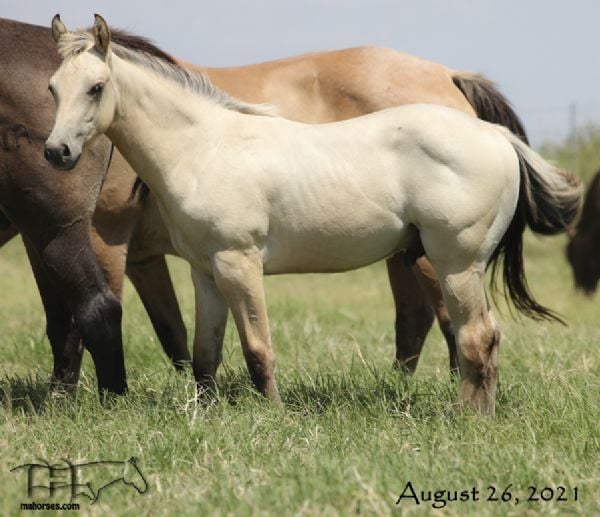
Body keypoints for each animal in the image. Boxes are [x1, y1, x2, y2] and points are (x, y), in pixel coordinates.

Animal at [44, 14, 580, 414]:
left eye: (96, 87)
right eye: (52, 88)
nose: (57, 152)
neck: (204, 146)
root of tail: (495, 136)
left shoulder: (238, 264)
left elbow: (258, 349)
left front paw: (275, 415)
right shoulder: (205, 271)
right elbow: (204, 354)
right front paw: (205, 413)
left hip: (455, 264)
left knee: (475, 337)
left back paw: (469, 419)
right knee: (479, 338)